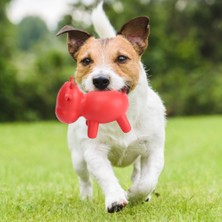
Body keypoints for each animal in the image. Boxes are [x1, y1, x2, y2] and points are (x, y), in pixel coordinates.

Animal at [56, 2, 166, 213]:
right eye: (86, 61)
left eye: (122, 58)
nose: (100, 80)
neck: (121, 115)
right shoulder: (94, 152)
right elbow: (106, 176)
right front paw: (116, 199)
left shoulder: (154, 149)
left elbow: (147, 181)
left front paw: (135, 194)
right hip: (77, 157)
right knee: (84, 179)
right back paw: (86, 197)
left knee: (138, 172)